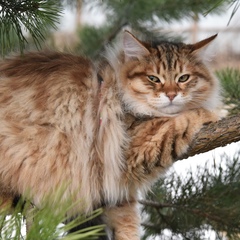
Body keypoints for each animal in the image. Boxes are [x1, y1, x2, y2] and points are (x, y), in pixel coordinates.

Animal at [0, 31, 220, 239]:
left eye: (183, 78)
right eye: (153, 79)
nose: (171, 94)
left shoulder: (116, 188)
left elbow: (127, 224)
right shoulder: (133, 148)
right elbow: (184, 119)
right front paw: (216, 113)